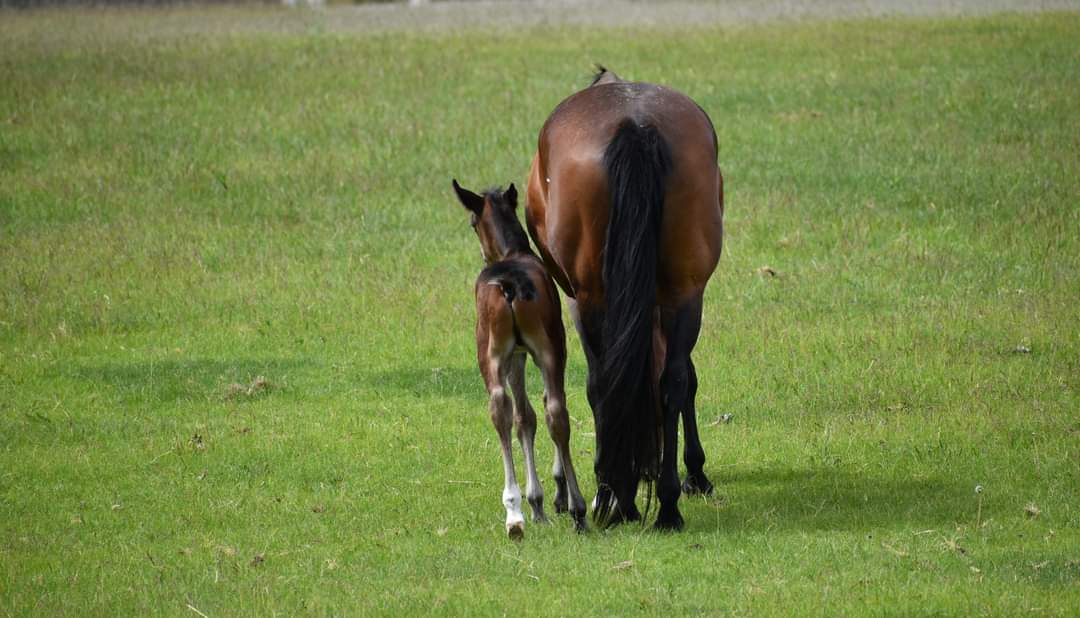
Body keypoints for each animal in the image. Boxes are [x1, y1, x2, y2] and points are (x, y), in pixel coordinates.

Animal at [452, 179, 588, 539]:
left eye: (472, 222)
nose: (482, 253)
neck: (513, 252)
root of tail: (510, 282)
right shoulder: (527, 354)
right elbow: (528, 416)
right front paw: (540, 501)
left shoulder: (516, 356)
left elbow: (524, 417)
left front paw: (536, 502)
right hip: (546, 351)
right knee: (549, 410)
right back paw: (560, 510)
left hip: (499, 354)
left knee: (511, 408)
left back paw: (520, 512)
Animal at [524, 68, 723, 530]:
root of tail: (635, 125)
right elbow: (682, 376)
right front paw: (691, 474)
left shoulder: (577, 299)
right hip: (685, 292)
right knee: (672, 381)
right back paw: (666, 506)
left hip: (589, 299)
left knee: (603, 383)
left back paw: (613, 495)